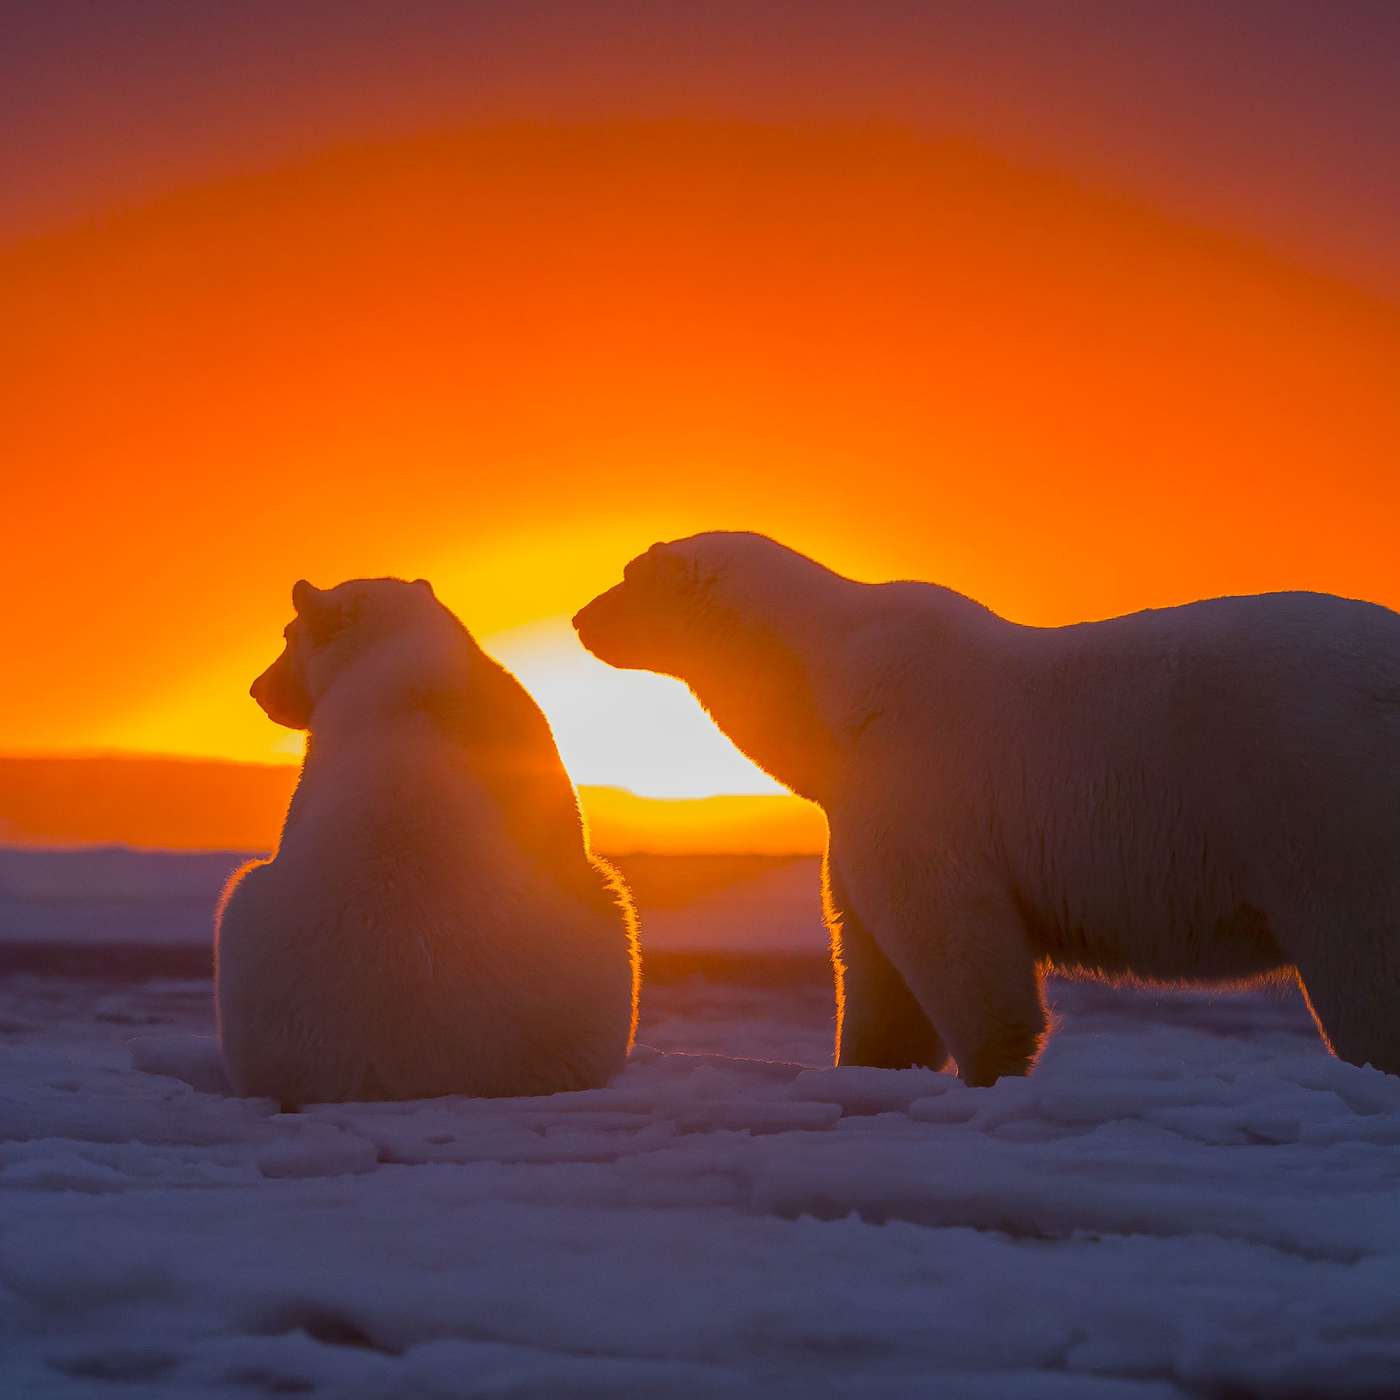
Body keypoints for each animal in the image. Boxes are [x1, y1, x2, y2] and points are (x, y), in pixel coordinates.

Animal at [573, 530, 1400, 1085]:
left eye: (628, 576)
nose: (580, 619)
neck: (828, 693)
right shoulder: (858, 810)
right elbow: (872, 959)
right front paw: (869, 1065)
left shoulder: (922, 788)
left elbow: (954, 944)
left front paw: (990, 1073)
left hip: (1322, 800)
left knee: (1359, 958)